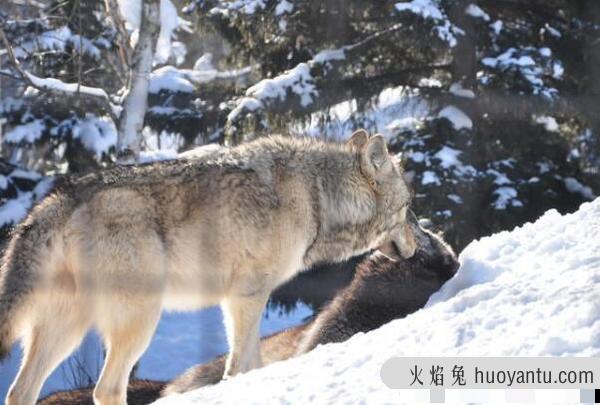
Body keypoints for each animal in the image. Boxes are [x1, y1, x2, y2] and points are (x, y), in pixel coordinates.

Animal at [0, 130, 414, 404]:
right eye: (409, 208)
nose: (418, 242)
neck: (316, 196)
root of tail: (56, 200)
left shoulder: (236, 300)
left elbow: (254, 362)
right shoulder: (249, 295)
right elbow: (238, 365)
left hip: (67, 331)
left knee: (19, 392)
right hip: (140, 320)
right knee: (107, 389)